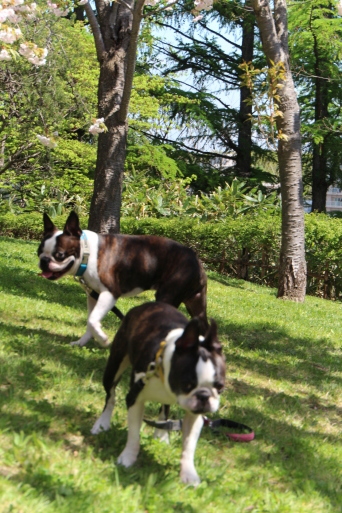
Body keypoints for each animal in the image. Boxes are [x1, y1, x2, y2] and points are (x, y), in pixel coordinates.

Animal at [91, 302, 226, 486]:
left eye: (220, 387)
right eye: (186, 384)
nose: (204, 396)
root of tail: (144, 305)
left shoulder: (194, 415)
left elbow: (188, 446)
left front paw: (189, 473)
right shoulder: (135, 398)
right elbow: (134, 435)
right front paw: (127, 458)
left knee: (165, 409)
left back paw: (162, 435)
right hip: (114, 366)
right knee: (110, 396)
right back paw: (102, 423)